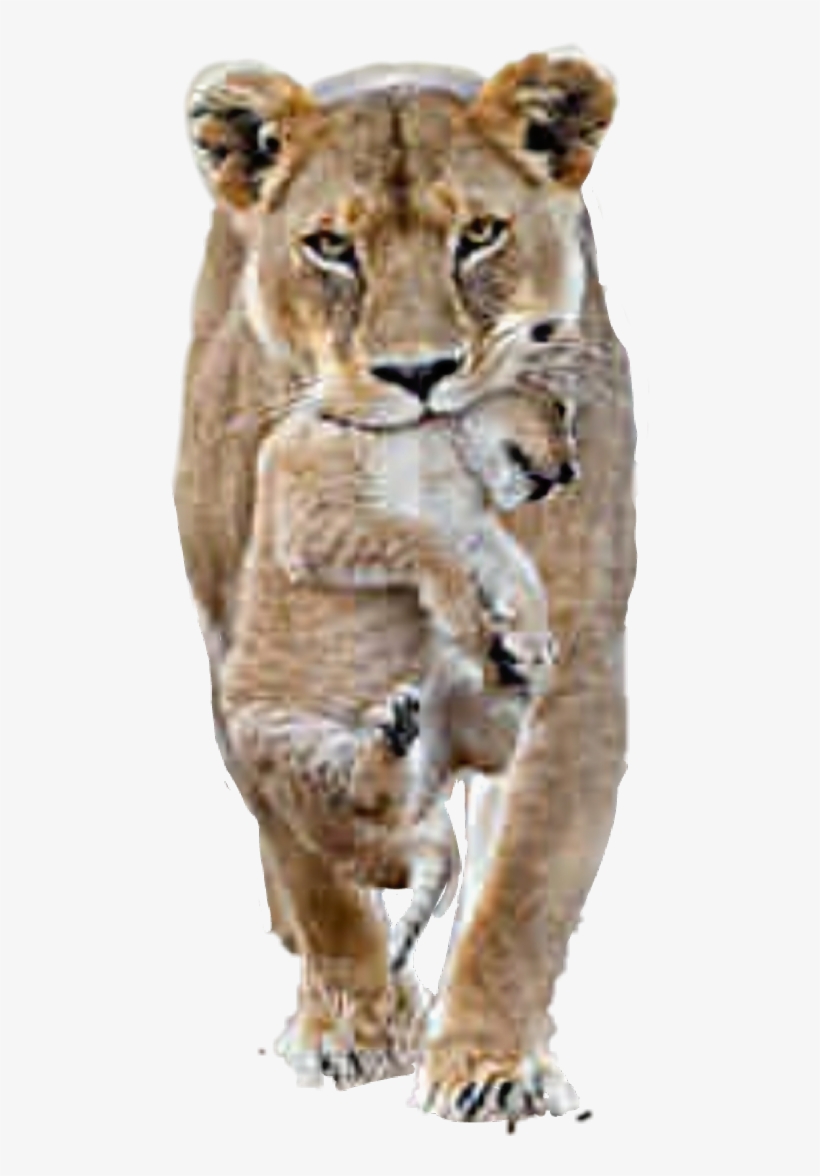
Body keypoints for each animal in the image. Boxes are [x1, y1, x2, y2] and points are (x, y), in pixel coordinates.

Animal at [175, 52, 635, 1123]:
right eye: (332, 246)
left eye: (480, 234)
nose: (419, 372)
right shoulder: (238, 657)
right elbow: (313, 872)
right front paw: (354, 1027)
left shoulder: (582, 667)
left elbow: (525, 884)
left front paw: (493, 1065)